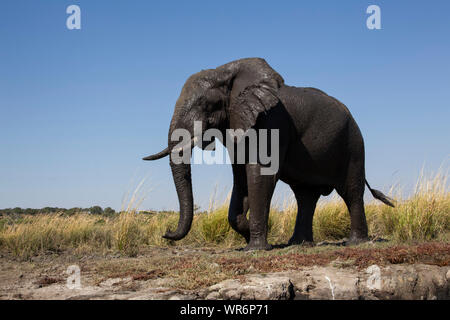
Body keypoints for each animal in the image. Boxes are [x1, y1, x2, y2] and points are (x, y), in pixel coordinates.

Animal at [142, 58, 392, 251]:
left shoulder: (271, 121)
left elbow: (259, 174)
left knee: (351, 191)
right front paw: (247, 232)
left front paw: (255, 247)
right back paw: (299, 244)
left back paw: (356, 243)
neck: (226, 71)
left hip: (354, 145)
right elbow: (241, 177)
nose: (166, 232)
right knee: (306, 196)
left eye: (206, 103)